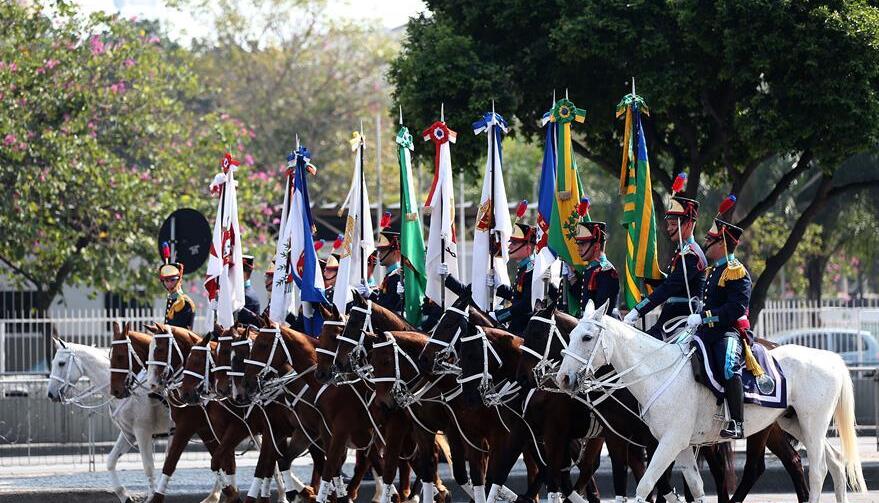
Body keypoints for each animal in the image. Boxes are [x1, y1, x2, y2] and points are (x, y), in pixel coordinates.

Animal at [556, 302, 868, 503]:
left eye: (587, 337)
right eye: (570, 335)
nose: (563, 378)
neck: (658, 371)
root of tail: (830, 357)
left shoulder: (668, 443)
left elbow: (645, 487)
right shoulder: (680, 445)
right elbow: (694, 487)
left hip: (812, 426)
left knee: (818, 470)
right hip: (793, 423)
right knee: (836, 462)